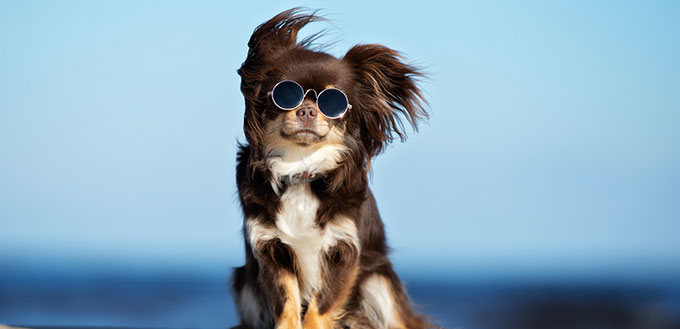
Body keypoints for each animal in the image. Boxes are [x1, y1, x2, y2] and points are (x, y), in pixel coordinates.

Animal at [230, 7, 430, 328]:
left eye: (334, 102)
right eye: (284, 95)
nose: (307, 111)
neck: (301, 170)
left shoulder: (344, 251)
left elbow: (320, 306)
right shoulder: (270, 249)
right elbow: (286, 302)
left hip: (379, 281)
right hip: (243, 284)